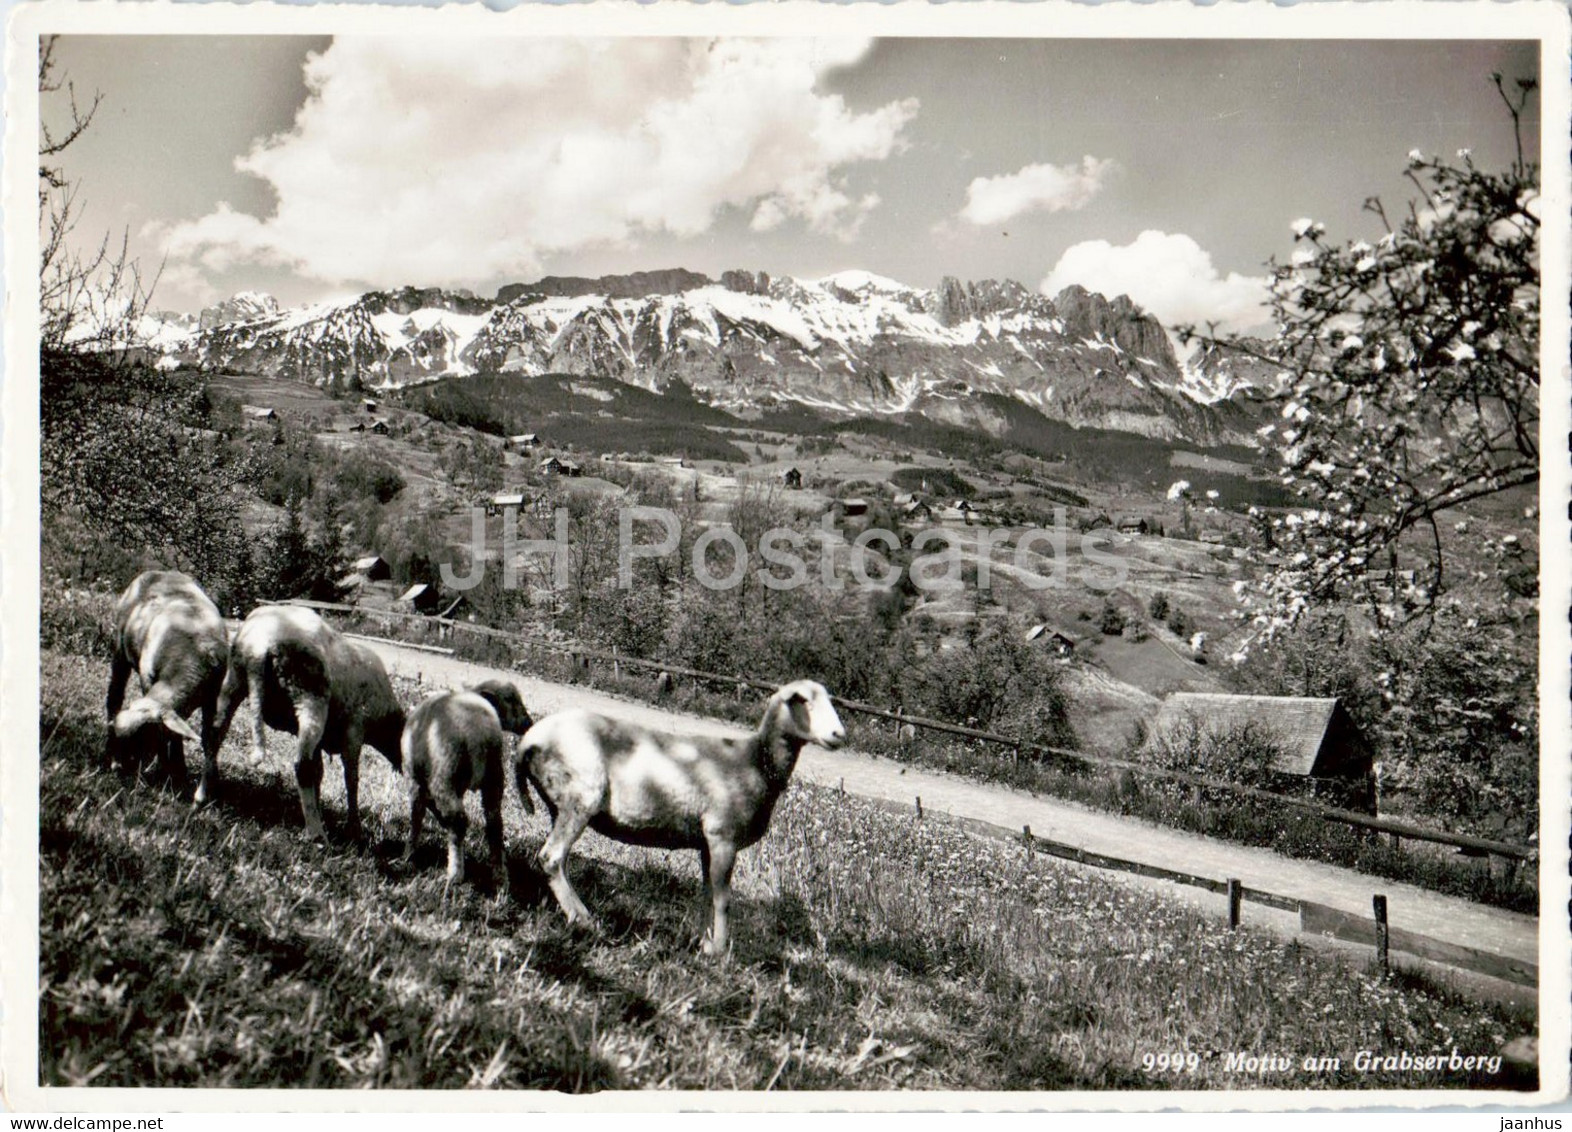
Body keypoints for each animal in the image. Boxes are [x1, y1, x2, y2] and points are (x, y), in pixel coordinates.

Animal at [106, 569, 229, 801]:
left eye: (144, 735)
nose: (119, 770)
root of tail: (159, 571)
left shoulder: (213, 695)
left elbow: (208, 738)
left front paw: (200, 787)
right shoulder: (148, 677)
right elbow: (174, 734)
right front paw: (171, 772)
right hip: (119, 648)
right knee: (114, 696)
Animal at [209, 610, 405, 842]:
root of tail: (260, 644)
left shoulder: (323, 738)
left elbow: (318, 772)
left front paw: (320, 811)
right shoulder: (354, 730)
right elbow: (351, 778)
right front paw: (353, 829)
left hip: (234, 679)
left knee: (214, 734)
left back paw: (207, 794)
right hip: (309, 695)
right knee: (301, 766)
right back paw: (316, 834)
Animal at [399, 682, 534, 886]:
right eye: (511, 700)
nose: (529, 723)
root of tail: (481, 733)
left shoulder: (414, 777)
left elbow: (416, 815)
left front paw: (409, 855)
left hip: (445, 775)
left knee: (458, 822)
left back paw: (454, 874)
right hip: (494, 777)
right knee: (494, 824)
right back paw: (500, 877)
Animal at [512, 682, 848, 955]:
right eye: (803, 700)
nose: (839, 735)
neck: (757, 761)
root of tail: (530, 739)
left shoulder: (707, 843)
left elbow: (708, 894)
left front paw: (704, 942)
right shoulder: (722, 835)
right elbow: (724, 898)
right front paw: (720, 952)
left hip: (560, 803)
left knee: (558, 860)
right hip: (581, 796)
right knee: (551, 857)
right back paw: (585, 919)